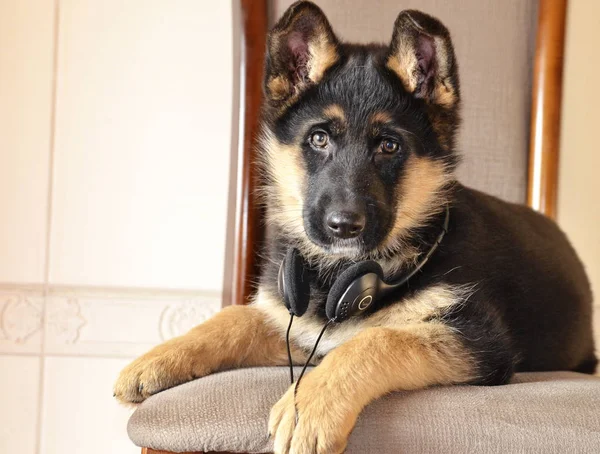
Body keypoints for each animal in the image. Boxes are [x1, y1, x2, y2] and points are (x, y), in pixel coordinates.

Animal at [116, 1, 596, 452]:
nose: (343, 226)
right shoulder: (303, 326)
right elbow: (237, 316)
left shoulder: (480, 340)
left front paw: (307, 405)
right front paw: (160, 357)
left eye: (389, 146)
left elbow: (377, 340)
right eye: (318, 139)